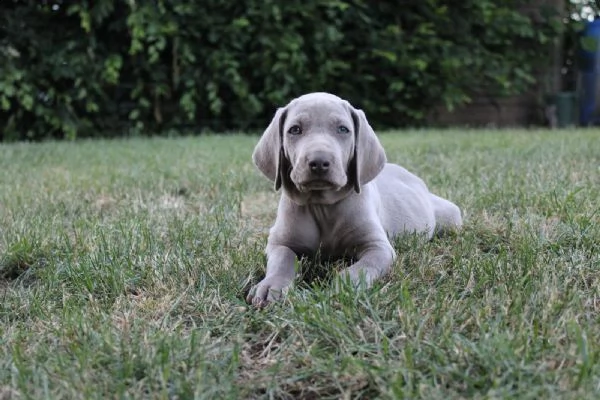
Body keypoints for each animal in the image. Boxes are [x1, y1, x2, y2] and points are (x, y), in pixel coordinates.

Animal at [246, 93, 462, 306]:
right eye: (295, 129)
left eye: (343, 129)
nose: (319, 162)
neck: (322, 205)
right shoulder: (279, 242)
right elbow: (282, 260)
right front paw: (272, 286)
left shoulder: (378, 247)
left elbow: (362, 267)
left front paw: (343, 288)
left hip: (450, 217)